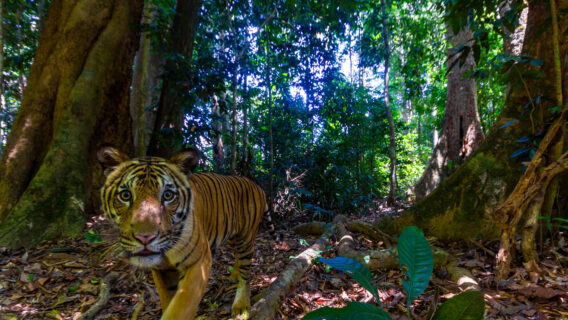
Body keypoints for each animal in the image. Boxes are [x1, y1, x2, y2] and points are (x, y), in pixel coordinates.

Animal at [97, 146, 268, 320]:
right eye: (125, 195)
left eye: (168, 195)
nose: (145, 238)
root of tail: (256, 185)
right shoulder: (161, 270)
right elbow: (167, 300)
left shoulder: (199, 262)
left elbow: (180, 307)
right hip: (233, 236)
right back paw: (234, 275)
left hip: (245, 238)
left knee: (246, 273)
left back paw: (241, 305)